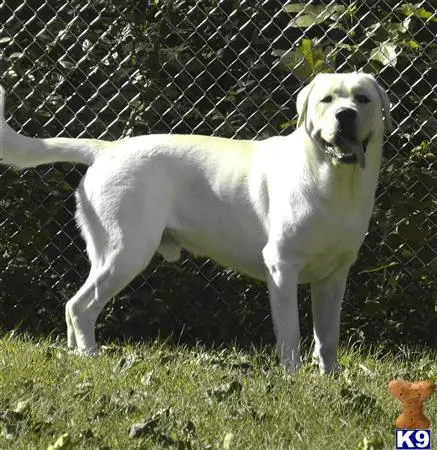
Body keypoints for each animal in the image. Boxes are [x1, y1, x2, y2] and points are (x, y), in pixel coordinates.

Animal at [0, 71, 392, 372]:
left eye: (362, 99)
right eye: (326, 100)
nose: (345, 115)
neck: (336, 184)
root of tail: (106, 149)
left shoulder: (334, 276)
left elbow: (328, 335)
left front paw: (330, 377)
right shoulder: (281, 267)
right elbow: (291, 333)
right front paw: (293, 377)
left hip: (109, 252)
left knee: (73, 308)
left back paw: (74, 356)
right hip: (125, 251)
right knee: (79, 306)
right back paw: (92, 357)